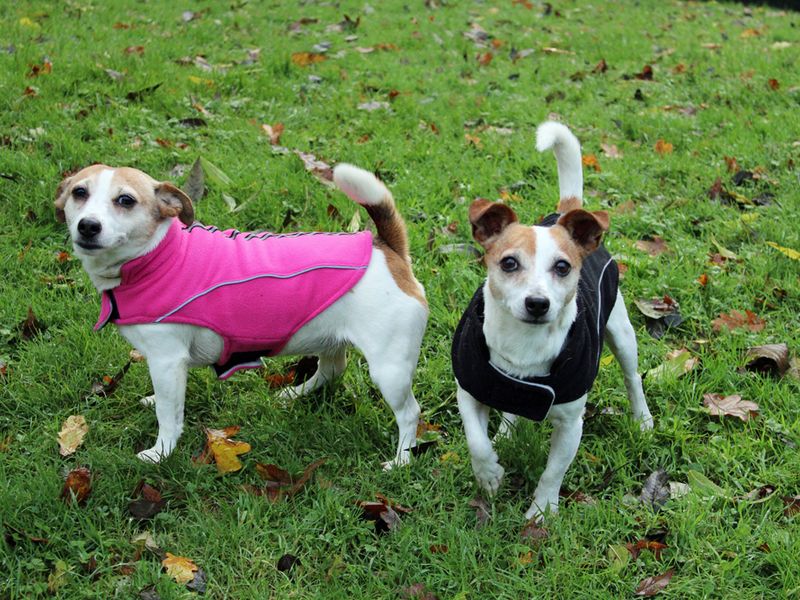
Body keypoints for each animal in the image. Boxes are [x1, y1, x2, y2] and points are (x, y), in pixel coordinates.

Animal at [55, 162, 428, 466]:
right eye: (79, 193)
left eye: (126, 200)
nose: (88, 226)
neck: (158, 256)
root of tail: (386, 248)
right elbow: (165, 400)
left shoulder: (166, 360)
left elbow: (168, 416)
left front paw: (161, 452)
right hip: (330, 338)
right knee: (332, 370)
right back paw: (295, 393)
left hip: (390, 370)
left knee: (409, 413)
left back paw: (401, 460)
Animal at [454, 122, 652, 520]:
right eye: (509, 263)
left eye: (562, 267)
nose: (537, 303)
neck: (524, 343)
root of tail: (562, 213)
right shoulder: (468, 390)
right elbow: (475, 440)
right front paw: (489, 474)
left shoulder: (571, 423)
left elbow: (552, 471)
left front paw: (541, 512)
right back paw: (505, 434)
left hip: (621, 333)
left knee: (632, 376)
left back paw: (642, 419)